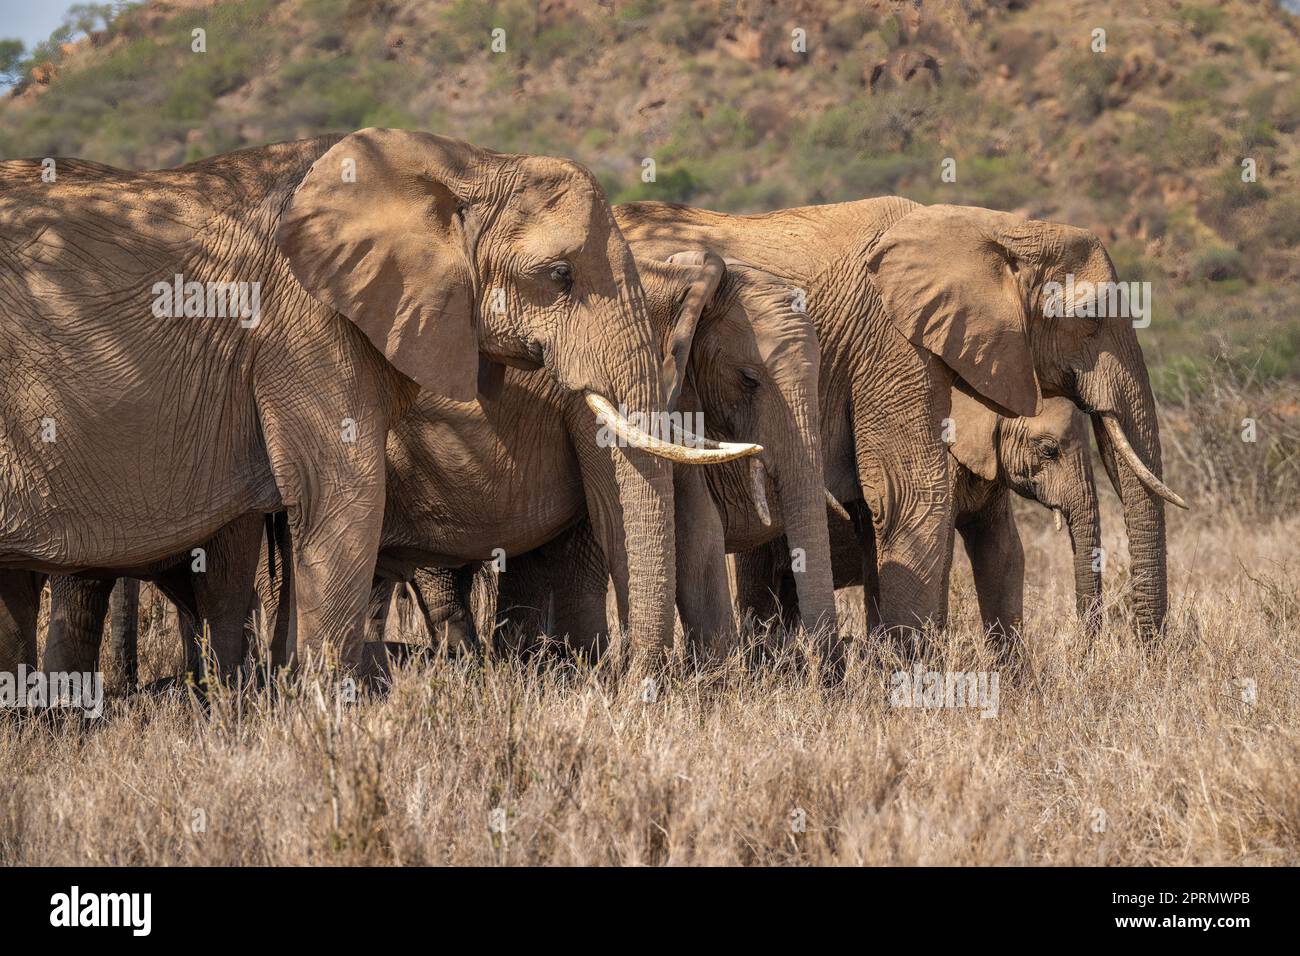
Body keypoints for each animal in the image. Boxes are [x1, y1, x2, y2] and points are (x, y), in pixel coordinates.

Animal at [2, 127, 743, 676]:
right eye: (559, 275)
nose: (629, 677)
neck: (463, 167)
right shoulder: (303, 323)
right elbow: (342, 496)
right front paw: (328, 718)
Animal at [613, 197, 1190, 639]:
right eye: (1090, 318)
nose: (1138, 650)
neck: (991, 230)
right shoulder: (890, 340)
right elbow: (910, 494)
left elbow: (1000, 550)